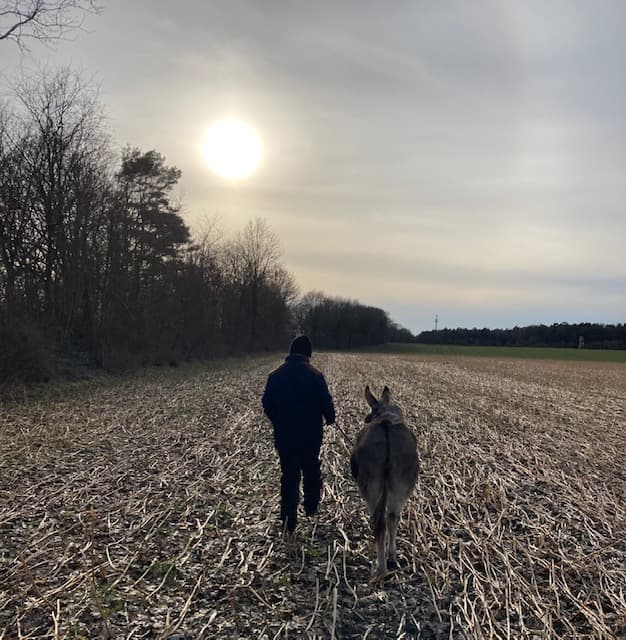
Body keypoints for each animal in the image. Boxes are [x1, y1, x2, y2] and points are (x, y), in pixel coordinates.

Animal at [348, 388, 416, 576]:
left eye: (372, 409)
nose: (366, 418)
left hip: (370, 487)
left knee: (379, 523)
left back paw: (379, 567)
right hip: (401, 486)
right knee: (392, 518)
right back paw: (391, 558)